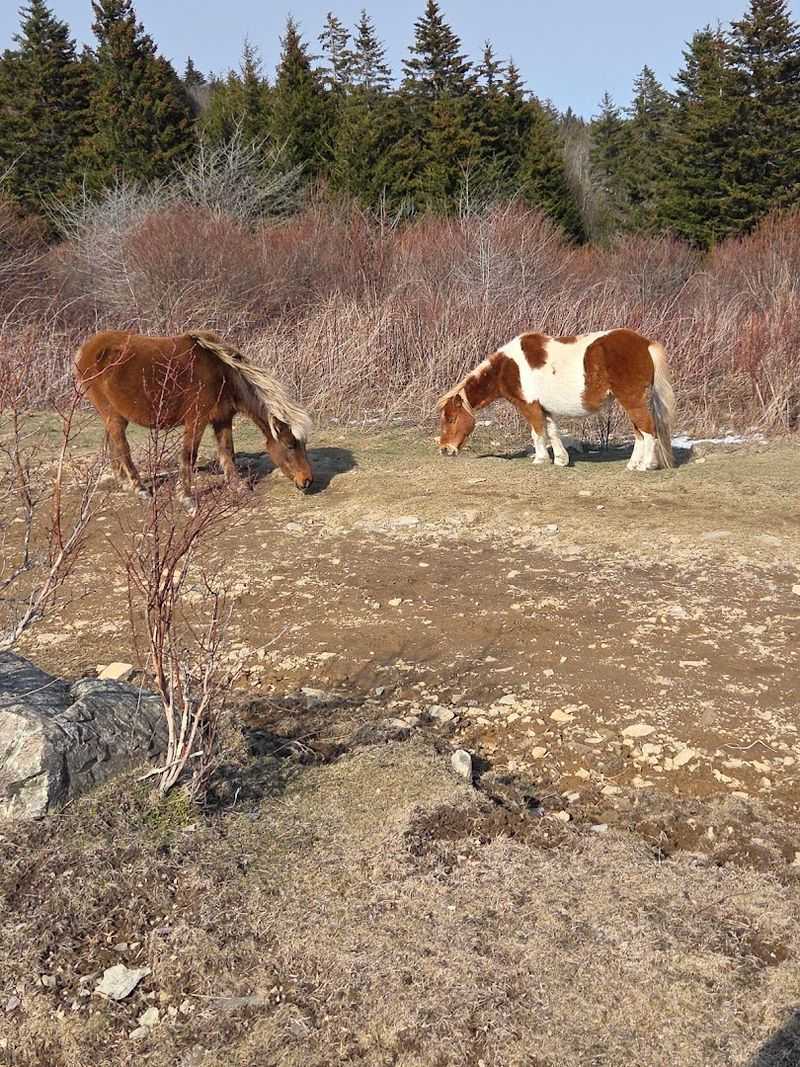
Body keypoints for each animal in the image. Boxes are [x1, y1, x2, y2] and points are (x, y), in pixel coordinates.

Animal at [75, 330, 313, 507]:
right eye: (290, 445)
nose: (307, 481)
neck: (222, 373)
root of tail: (86, 349)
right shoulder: (196, 421)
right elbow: (189, 456)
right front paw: (186, 497)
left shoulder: (222, 419)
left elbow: (227, 452)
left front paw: (238, 486)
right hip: (113, 416)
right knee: (122, 448)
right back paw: (139, 488)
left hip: (114, 416)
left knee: (113, 444)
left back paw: (123, 481)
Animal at [437, 328, 676, 471]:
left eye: (451, 419)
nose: (445, 449)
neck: (508, 367)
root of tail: (645, 344)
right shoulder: (546, 408)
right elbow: (552, 432)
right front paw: (561, 460)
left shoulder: (530, 407)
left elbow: (538, 433)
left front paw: (540, 459)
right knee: (640, 433)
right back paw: (634, 464)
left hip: (632, 401)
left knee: (648, 430)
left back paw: (646, 465)